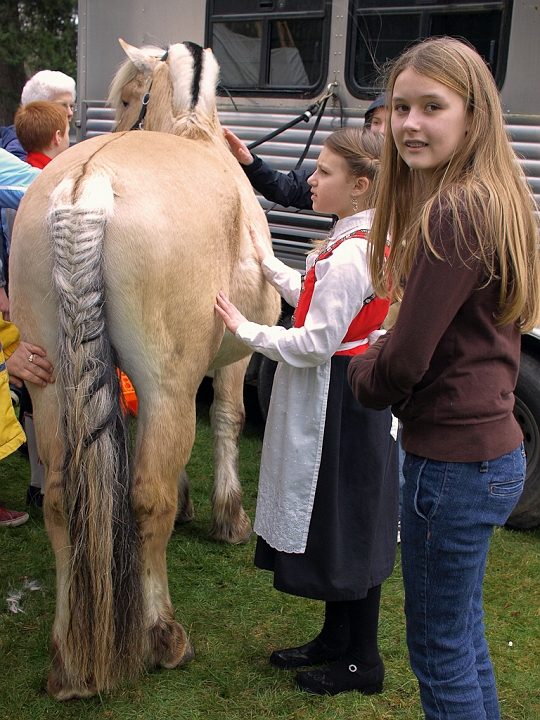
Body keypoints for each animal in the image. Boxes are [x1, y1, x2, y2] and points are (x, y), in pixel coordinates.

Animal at [9, 40, 278, 704]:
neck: (194, 132)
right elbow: (227, 423)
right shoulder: (230, 361)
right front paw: (227, 517)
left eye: (130, 100)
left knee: (62, 499)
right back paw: (162, 635)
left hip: (50, 383)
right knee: (143, 497)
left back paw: (69, 662)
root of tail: (89, 185)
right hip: (164, 386)